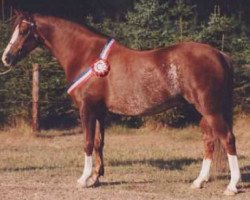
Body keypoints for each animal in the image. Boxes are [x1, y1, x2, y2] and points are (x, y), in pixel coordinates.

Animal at [1, 11, 240, 195]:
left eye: (24, 30)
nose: (6, 58)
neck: (86, 56)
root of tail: (220, 54)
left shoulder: (86, 109)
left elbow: (87, 143)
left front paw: (83, 179)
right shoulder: (99, 111)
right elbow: (99, 143)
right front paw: (96, 178)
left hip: (211, 109)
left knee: (227, 139)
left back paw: (231, 186)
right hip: (205, 111)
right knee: (209, 141)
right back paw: (199, 182)